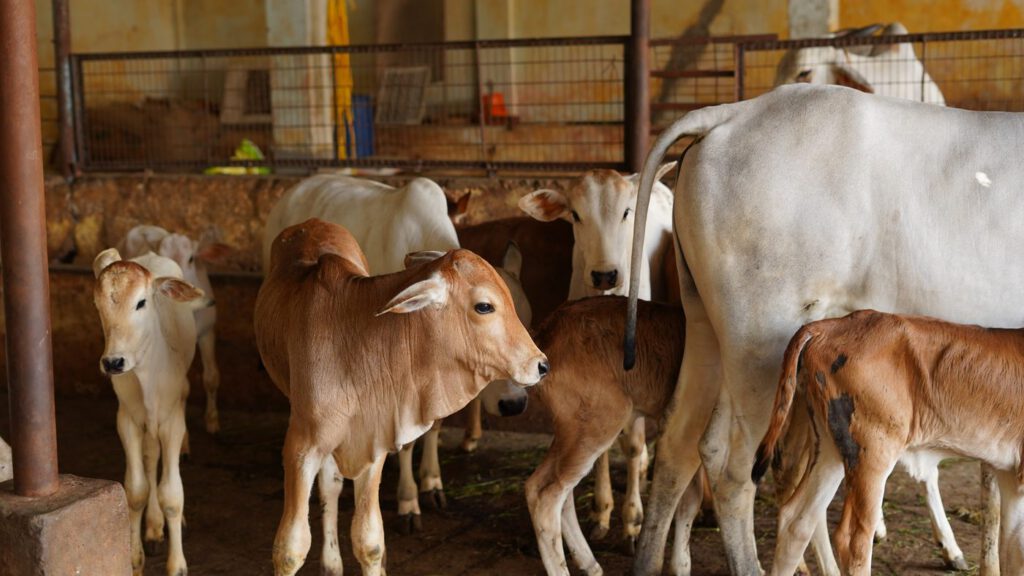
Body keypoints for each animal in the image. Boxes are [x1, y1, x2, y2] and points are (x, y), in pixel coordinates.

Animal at [93, 248, 206, 576]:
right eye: (98, 303)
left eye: (141, 302)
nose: (113, 362)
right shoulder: (127, 419)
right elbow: (137, 490)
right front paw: (134, 558)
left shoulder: (171, 421)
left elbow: (172, 494)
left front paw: (177, 564)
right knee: (150, 455)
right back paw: (154, 527)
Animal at [254, 218, 547, 576]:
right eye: (484, 306)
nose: (541, 364)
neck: (355, 346)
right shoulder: (301, 447)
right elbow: (290, 548)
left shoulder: (373, 442)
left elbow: (369, 540)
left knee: (331, 486)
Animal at [520, 165, 676, 543]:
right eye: (576, 215)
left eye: (627, 211)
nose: (605, 274)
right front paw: (601, 511)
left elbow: (632, 443)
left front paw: (633, 519)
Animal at [526, 296, 709, 576]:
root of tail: (546, 332)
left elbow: (689, 500)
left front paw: (681, 566)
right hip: (601, 421)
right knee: (544, 493)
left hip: (573, 428)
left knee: (556, 490)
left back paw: (590, 564)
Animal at [754, 310, 1024, 575]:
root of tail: (826, 327)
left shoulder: (1010, 476)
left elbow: (1012, 551)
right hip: (872, 451)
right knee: (851, 541)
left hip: (830, 448)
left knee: (796, 521)